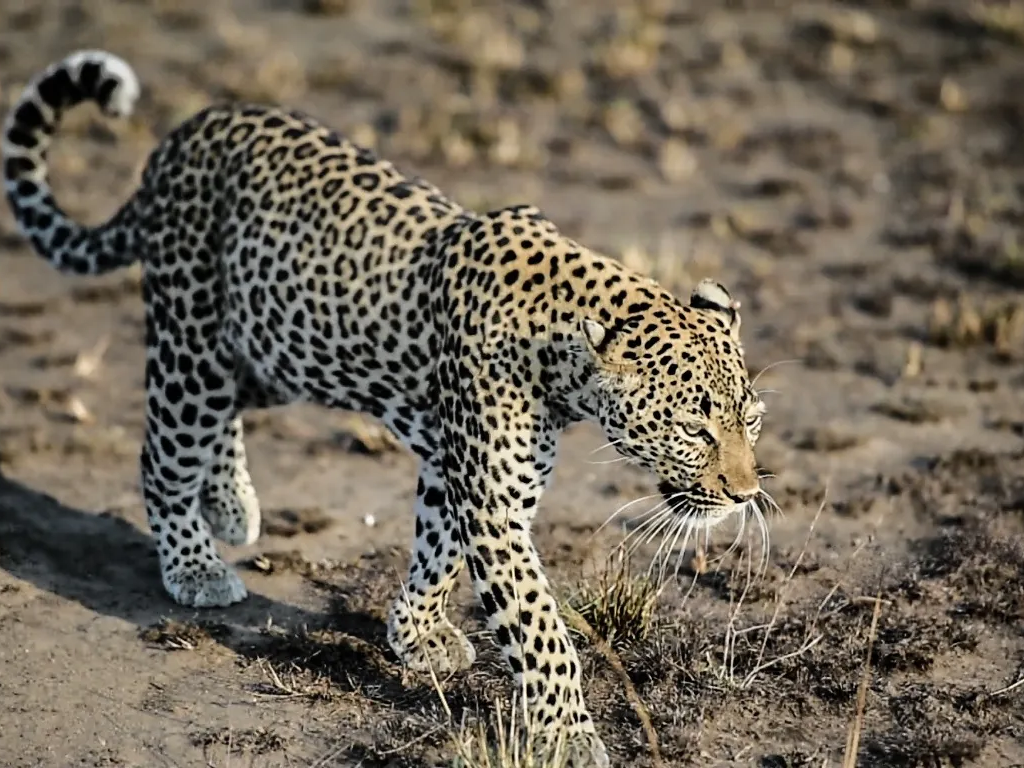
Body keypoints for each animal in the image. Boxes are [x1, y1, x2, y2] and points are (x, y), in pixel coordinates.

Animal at [2, 50, 768, 767]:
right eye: (694, 429)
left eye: (751, 420)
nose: (745, 494)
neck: (562, 346)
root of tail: (181, 135)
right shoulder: (491, 495)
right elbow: (538, 625)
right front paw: (567, 735)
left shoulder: (469, 476)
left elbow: (438, 548)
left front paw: (416, 633)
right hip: (192, 343)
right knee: (163, 454)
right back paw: (195, 565)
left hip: (277, 342)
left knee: (228, 409)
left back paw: (230, 502)